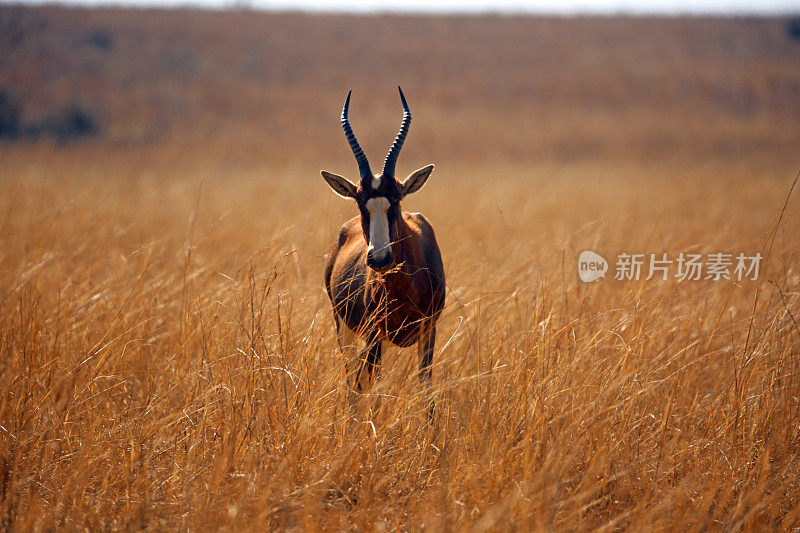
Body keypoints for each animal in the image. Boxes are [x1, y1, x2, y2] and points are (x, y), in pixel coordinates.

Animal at [322, 87, 446, 394]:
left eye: (397, 198)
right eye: (360, 202)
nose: (379, 258)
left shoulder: (429, 330)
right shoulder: (374, 335)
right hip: (345, 330)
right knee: (354, 382)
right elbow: (366, 387)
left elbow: (426, 389)